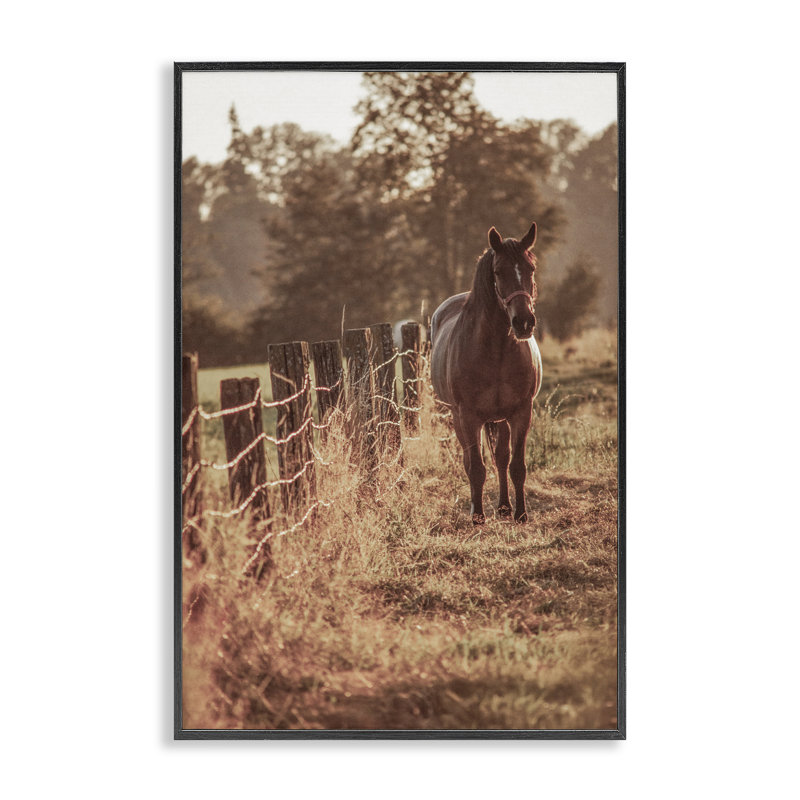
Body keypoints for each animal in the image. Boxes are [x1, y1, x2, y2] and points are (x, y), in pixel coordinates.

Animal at [430, 223, 542, 525]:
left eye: (530, 268)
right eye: (498, 272)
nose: (524, 322)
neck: (496, 352)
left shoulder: (521, 412)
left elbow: (516, 466)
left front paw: (521, 514)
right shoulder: (468, 416)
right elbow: (477, 468)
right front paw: (478, 516)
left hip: (500, 419)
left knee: (501, 459)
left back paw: (504, 507)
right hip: (459, 418)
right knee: (471, 461)